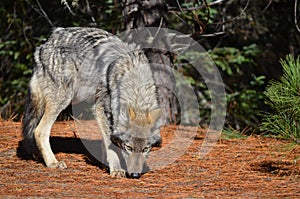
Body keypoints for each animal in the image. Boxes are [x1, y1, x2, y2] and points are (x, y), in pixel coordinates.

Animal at [21, 26, 162, 179]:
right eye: (128, 147)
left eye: (146, 149)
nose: (135, 175)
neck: (135, 85)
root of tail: (45, 43)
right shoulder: (100, 108)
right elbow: (110, 144)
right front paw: (116, 169)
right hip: (64, 99)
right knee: (39, 131)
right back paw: (53, 163)